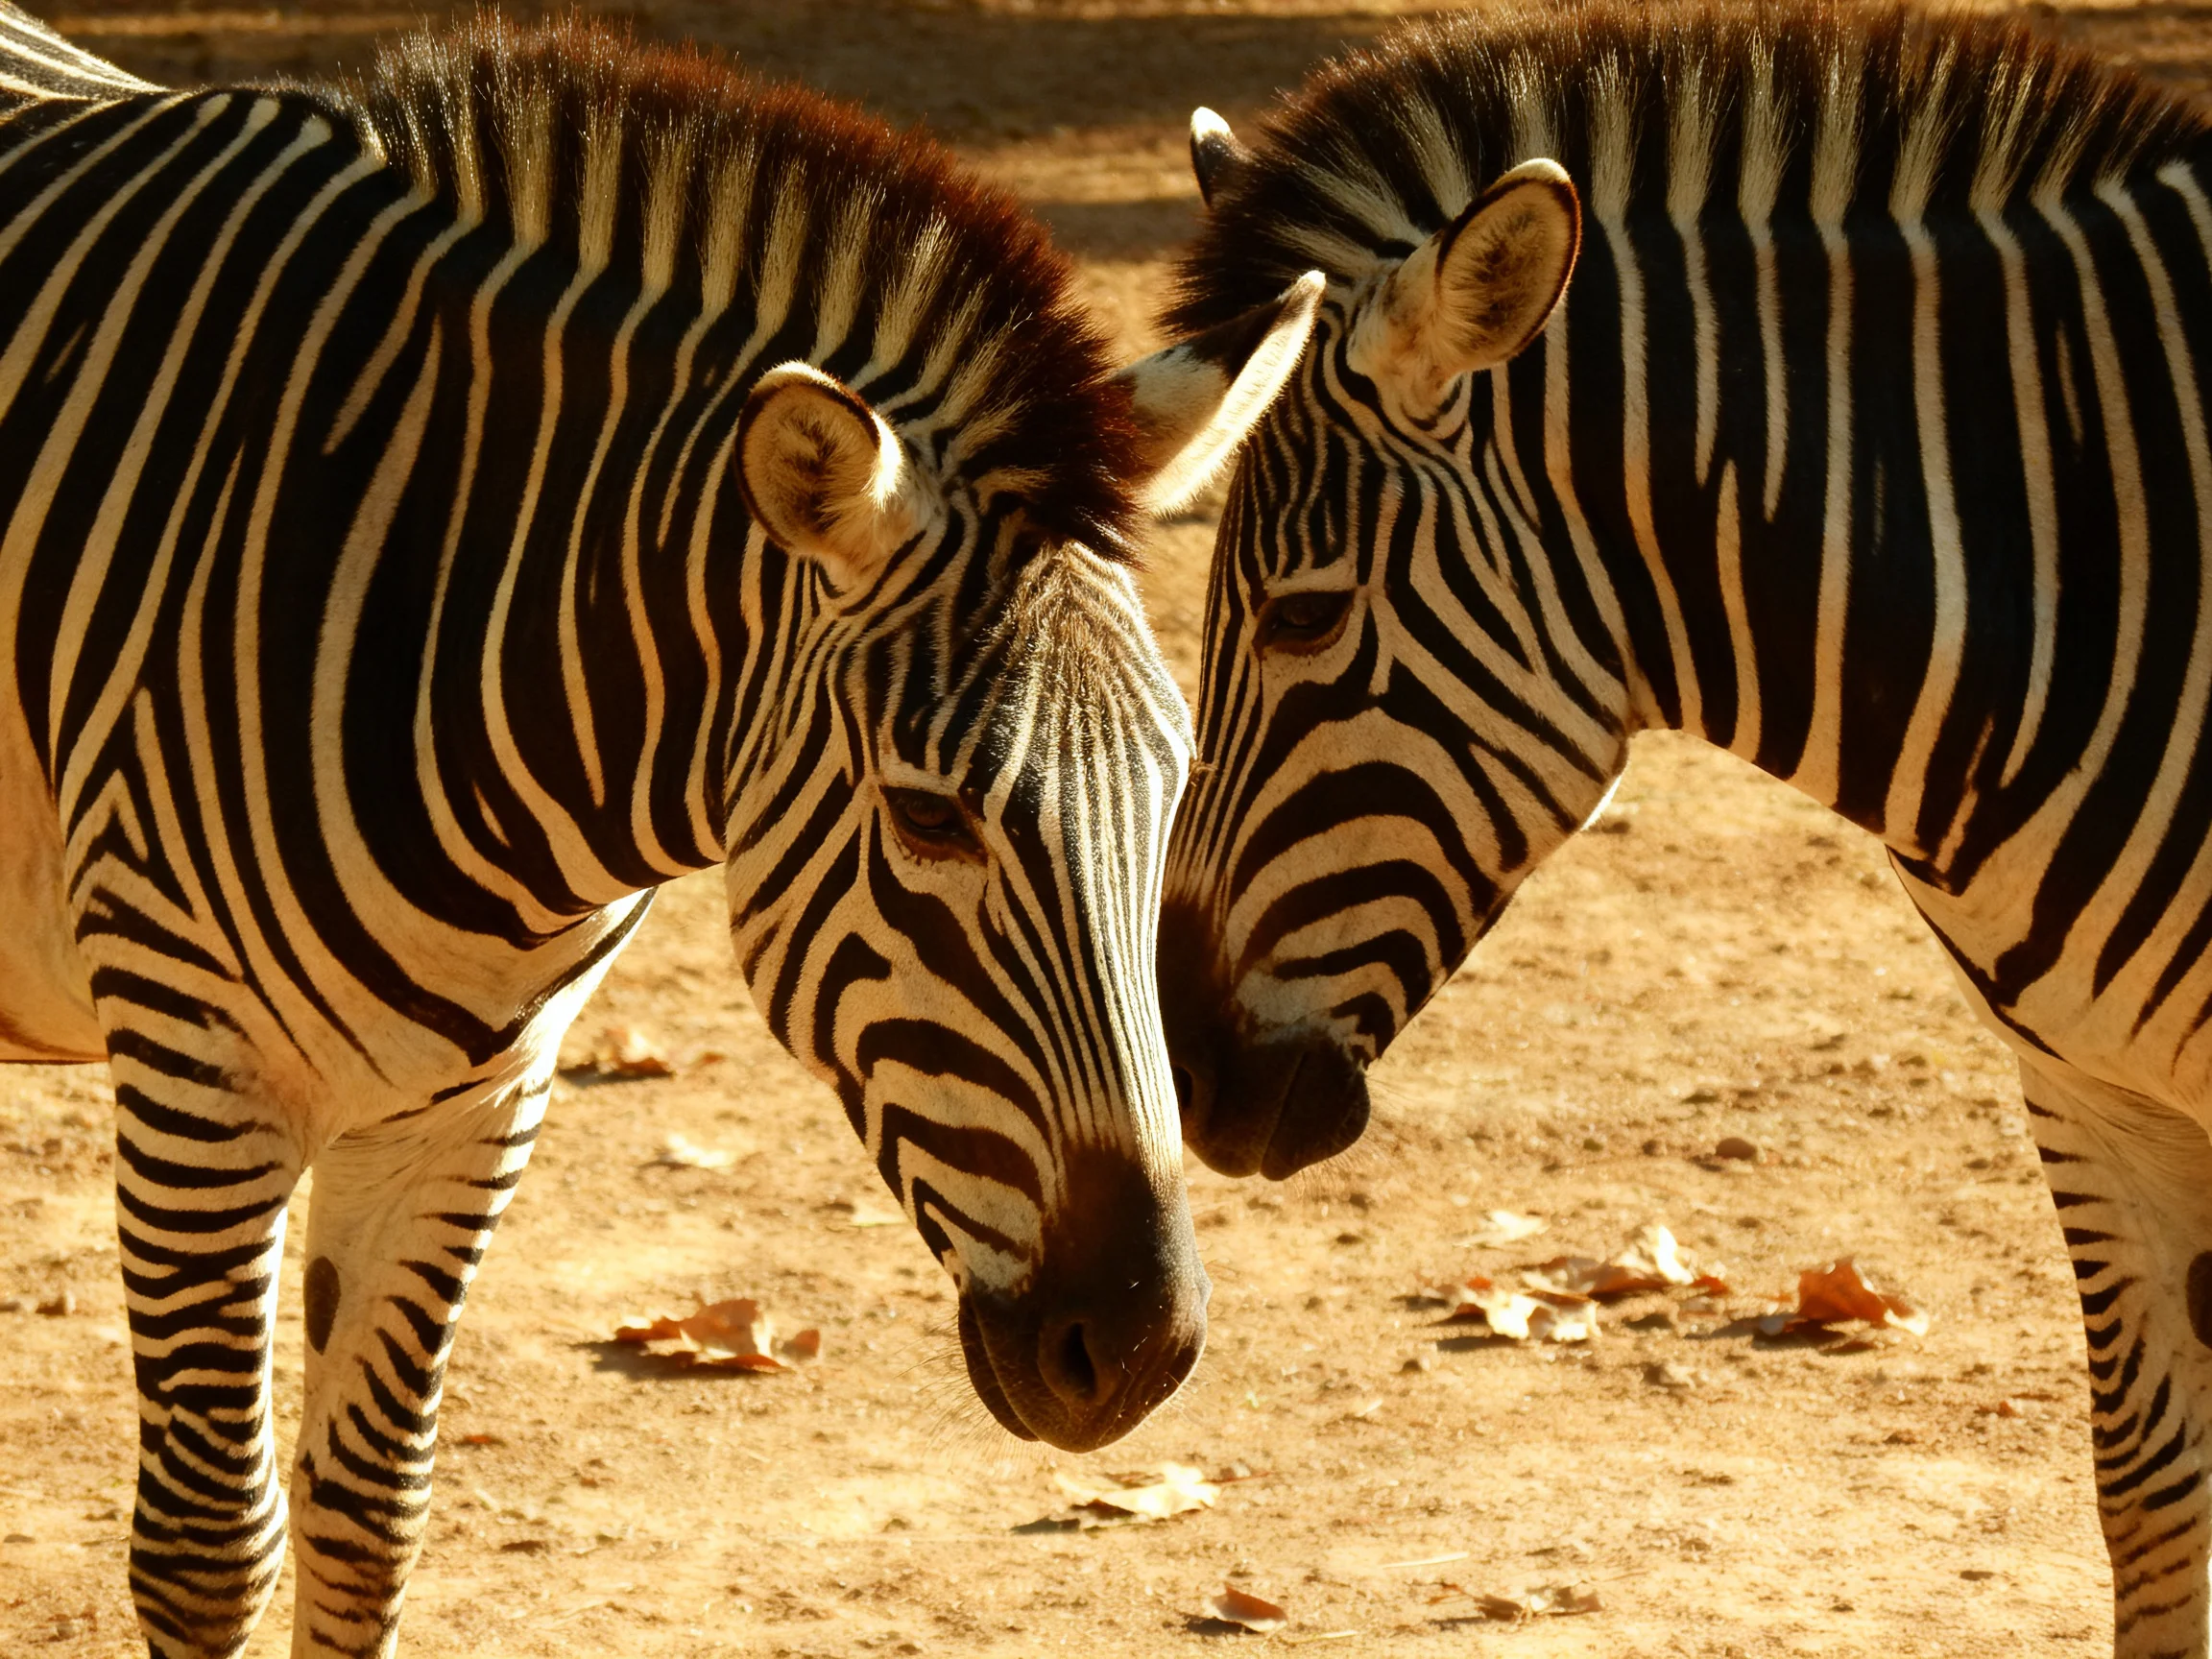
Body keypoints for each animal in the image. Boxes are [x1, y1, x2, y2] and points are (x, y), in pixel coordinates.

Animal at [0, 8, 1324, 1654]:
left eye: (1171, 786)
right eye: (930, 816)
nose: (1136, 1351)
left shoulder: (475, 1101)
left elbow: (368, 1520)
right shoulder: (201, 1079)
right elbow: (206, 1543)